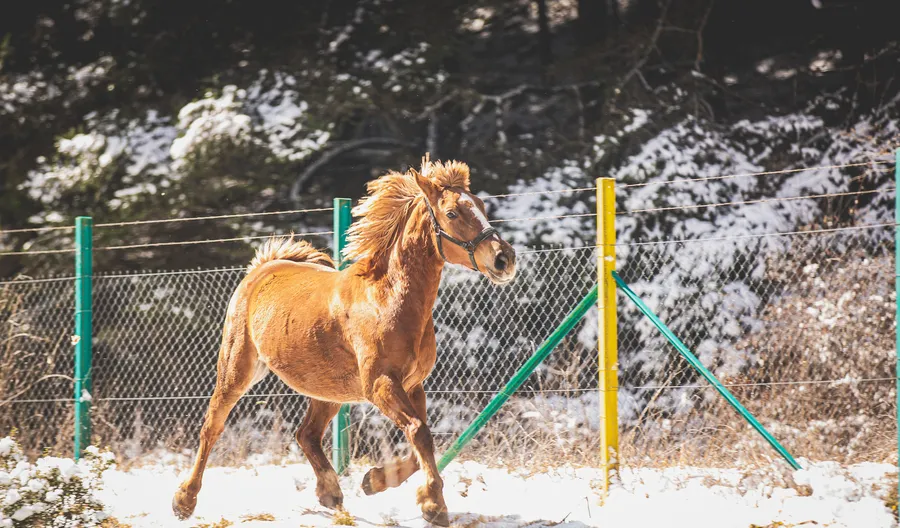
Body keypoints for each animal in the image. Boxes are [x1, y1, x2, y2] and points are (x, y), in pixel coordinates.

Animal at [172, 157, 517, 526]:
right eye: (452, 213)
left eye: (481, 206)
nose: (504, 259)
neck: (388, 300)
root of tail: (262, 268)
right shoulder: (380, 384)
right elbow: (418, 432)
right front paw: (433, 505)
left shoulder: (413, 385)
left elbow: (421, 435)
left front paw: (375, 481)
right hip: (238, 368)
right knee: (212, 426)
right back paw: (184, 500)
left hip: (329, 389)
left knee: (307, 434)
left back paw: (330, 493)